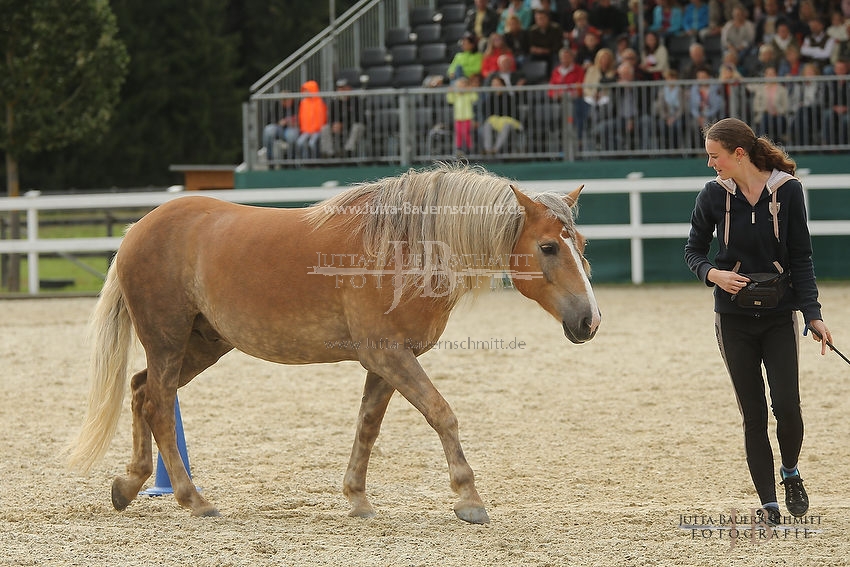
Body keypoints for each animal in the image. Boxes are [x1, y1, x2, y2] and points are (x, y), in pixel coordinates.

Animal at [69, 163, 600, 524]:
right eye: (548, 247)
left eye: (581, 245)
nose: (589, 320)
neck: (404, 248)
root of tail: (137, 229)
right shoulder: (388, 354)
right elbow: (441, 413)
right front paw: (468, 499)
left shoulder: (386, 360)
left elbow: (367, 425)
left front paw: (357, 498)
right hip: (168, 339)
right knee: (159, 404)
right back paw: (192, 499)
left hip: (202, 345)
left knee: (141, 391)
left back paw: (128, 485)